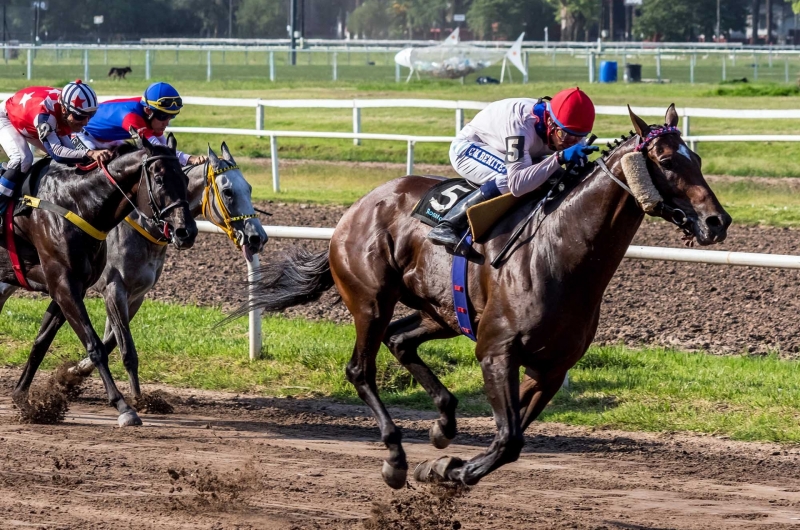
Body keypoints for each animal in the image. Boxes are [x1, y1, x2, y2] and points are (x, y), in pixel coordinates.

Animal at [0, 132, 196, 424]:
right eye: (160, 179)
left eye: (184, 179)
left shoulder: (71, 287)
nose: (187, 231)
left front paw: (25, 400)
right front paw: (124, 407)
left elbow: (41, 343)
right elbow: (95, 346)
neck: (76, 204)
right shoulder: (66, 284)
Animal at [0, 142, 268, 398]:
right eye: (228, 192)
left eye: (249, 188)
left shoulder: (136, 294)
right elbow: (123, 347)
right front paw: (136, 399)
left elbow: (112, 341)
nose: (257, 237)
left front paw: (74, 375)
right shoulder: (112, 288)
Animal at [239, 104, 732, 486]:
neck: (561, 252)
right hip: (371, 300)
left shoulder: (552, 369)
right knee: (361, 368)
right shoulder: (496, 351)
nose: (717, 221)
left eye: (697, 157)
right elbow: (509, 438)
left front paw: (446, 467)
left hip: (442, 312)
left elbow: (511, 439)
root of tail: (355, 210)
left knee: (400, 340)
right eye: (665, 160)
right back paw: (396, 457)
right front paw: (447, 470)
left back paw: (443, 423)